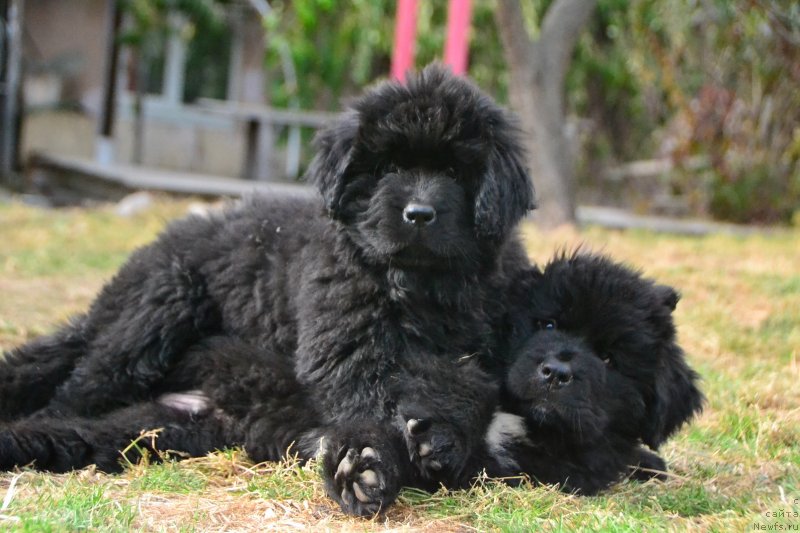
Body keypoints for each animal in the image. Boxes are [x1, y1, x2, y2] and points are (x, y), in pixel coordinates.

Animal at [1, 66, 536, 516]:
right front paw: (366, 464)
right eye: (387, 169)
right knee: (73, 393)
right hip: (152, 317)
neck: (414, 287)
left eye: (454, 172)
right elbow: (373, 407)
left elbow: (466, 391)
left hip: (165, 423)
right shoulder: (346, 356)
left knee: (79, 428)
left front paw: (436, 442)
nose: (419, 214)